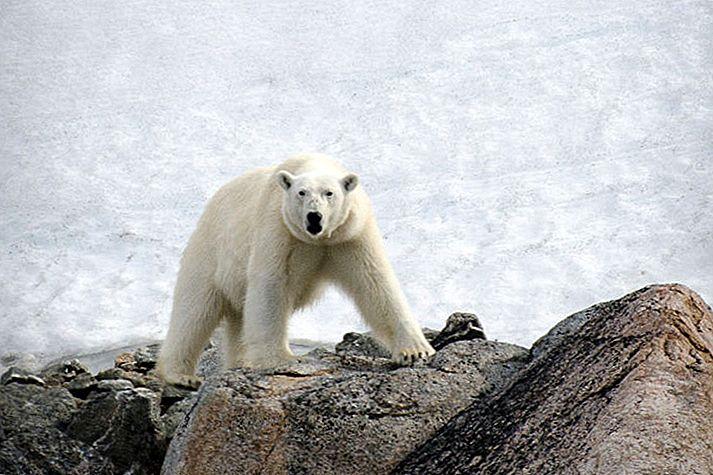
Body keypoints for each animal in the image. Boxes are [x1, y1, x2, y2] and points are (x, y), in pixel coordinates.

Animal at [156, 152, 434, 386]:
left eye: (329, 193)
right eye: (301, 192)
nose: (314, 216)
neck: (318, 240)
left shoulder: (350, 235)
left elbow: (375, 282)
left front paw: (415, 351)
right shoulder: (279, 229)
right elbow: (271, 286)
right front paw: (280, 358)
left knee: (236, 317)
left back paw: (240, 361)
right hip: (210, 250)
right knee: (194, 311)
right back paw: (181, 376)